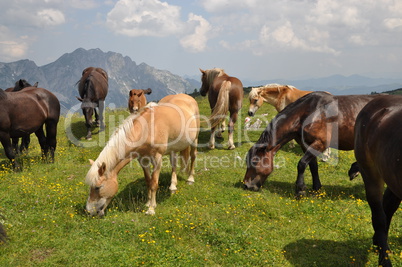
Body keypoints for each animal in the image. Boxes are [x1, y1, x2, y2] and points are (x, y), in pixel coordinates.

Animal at [242, 92, 384, 197]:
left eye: (255, 162)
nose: (246, 185)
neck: (310, 112)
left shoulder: (320, 143)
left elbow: (301, 164)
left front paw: (300, 189)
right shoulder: (307, 145)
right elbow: (312, 166)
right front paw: (316, 188)